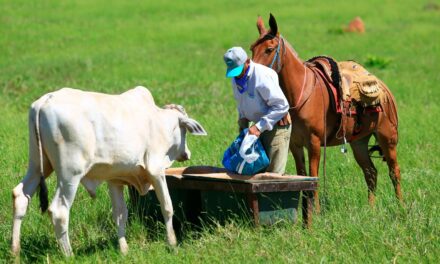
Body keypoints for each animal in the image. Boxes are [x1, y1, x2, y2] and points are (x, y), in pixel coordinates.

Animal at [11, 86, 207, 256]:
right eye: (185, 131)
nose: (187, 153)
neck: (160, 122)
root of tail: (45, 100)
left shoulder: (115, 180)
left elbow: (120, 214)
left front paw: (124, 250)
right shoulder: (156, 170)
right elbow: (167, 207)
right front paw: (172, 243)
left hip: (38, 165)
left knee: (20, 196)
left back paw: (15, 252)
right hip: (70, 174)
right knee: (59, 211)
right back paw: (69, 255)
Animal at [251, 14, 402, 212]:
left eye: (269, 49)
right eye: (252, 48)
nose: (251, 74)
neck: (301, 92)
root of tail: (384, 89)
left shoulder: (314, 143)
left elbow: (313, 175)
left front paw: (315, 210)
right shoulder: (295, 144)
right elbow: (302, 175)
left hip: (387, 138)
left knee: (394, 171)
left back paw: (401, 206)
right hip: (359, 142)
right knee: (371, 172)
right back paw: (371, 208)